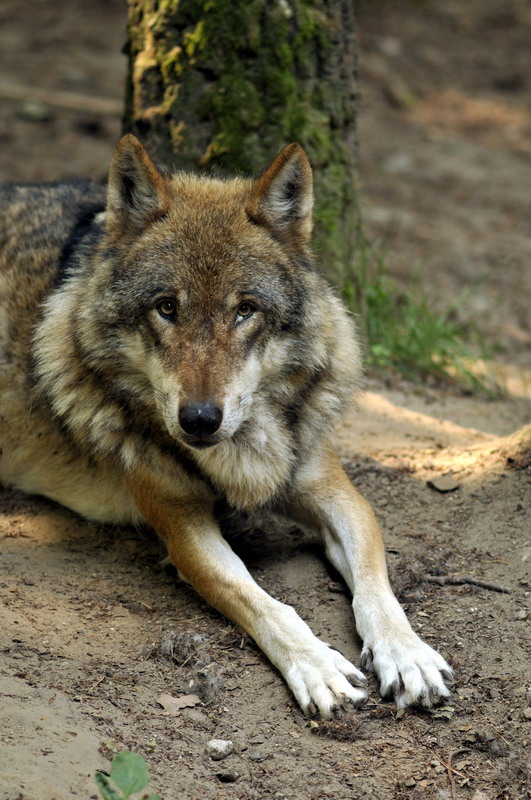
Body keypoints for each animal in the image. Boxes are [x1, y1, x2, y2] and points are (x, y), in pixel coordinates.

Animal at [0, 135, 452, 718]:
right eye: (166, 307)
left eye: (245, 310)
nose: (198, 420)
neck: (245, 456)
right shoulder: (181, 523)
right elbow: (262, 601)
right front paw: (317, 666)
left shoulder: (334, 491)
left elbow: (376, 582)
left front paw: (407, 654)